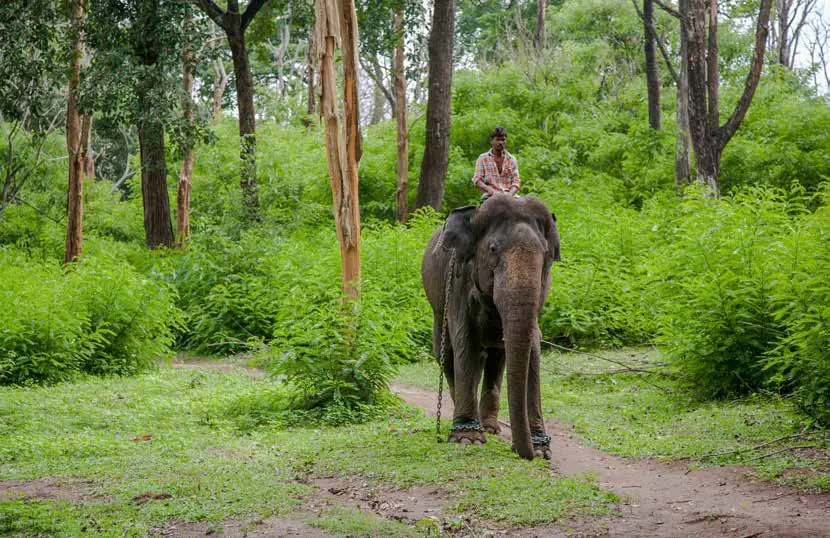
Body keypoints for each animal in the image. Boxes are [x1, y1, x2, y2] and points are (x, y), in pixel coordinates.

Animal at [421, 193, 560, 460]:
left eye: (546, 254)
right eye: (492, 249)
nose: (521, 451)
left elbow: (533, 347)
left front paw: (541, 449)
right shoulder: (459, 281)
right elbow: (464, 339)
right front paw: (467, 438)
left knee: (497, 357)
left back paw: (490, 427)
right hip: (436, 305)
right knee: (447, 353)